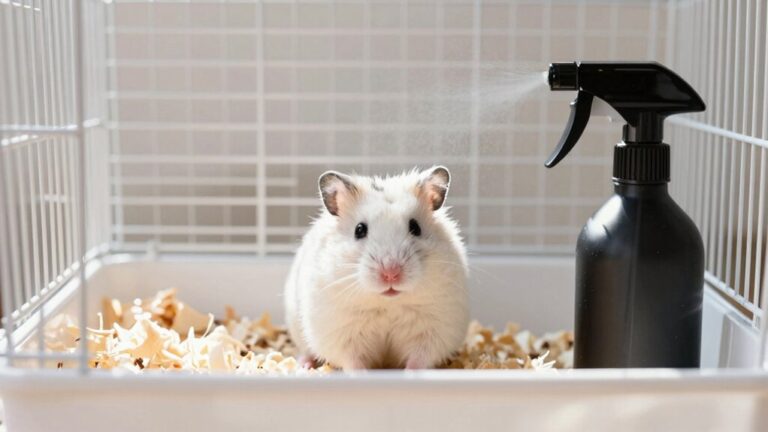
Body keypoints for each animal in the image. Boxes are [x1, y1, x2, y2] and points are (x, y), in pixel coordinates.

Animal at [284, 166, 469, 370]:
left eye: (415, 227)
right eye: (359, 229)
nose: (391, 273)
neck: (388, 303)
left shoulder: (433, 330)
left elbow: (419, 359)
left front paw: (409, 373)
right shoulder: (342, 332)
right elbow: (353, 362)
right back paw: (304, 365)